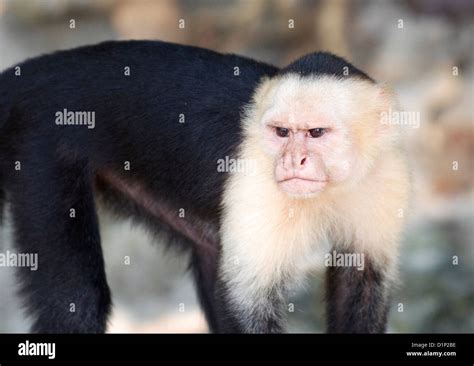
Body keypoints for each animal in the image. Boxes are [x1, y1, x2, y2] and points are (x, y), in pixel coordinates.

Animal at [0, 39, 410, 332]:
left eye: (316, 133)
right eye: (281, 133)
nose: (293, 161)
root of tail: (36, 72)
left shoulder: (386, 176)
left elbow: (362, 282)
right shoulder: (256, 183)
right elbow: (246, 304)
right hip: (39, 148)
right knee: (79, 302)